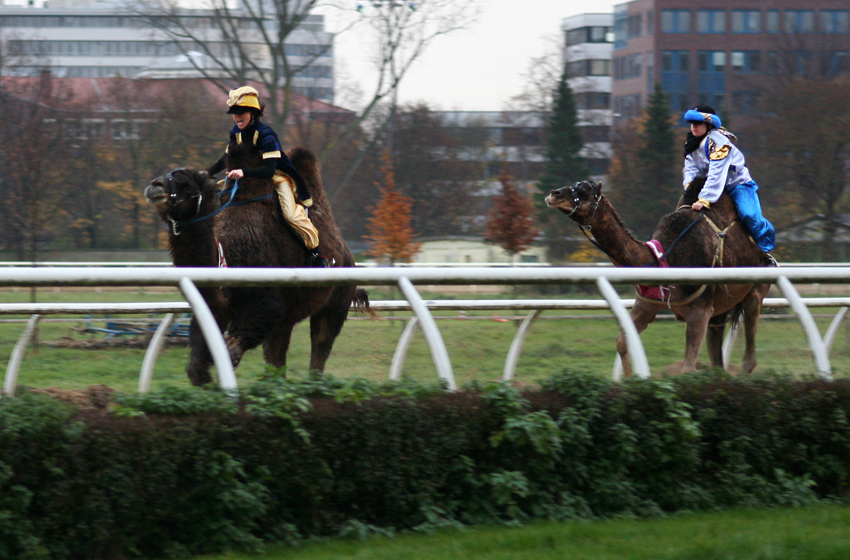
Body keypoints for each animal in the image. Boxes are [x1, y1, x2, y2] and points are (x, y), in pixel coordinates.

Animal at [146, 147, 372, 388]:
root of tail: (347, 254)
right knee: (278, 353)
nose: (154, 186)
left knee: (321, 343)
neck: (226, 257)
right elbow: (196, 366)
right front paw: (209, 381)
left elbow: (234, 347)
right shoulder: (214, 306)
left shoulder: (266, 301)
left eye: (186, 183)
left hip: (336, 301)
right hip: (291, 318)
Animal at [544, 179, 768, 376]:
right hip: (720, 308)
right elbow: (622, 342)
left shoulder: (699, 311)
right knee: (717, 359)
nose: (553, 194)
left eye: (585, 191)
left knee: (749, 352)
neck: (666, 258)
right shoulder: (647, 304)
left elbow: (688, 368)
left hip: (755, 290)